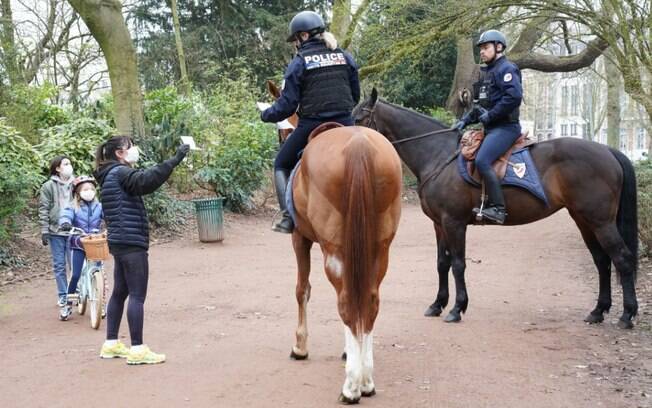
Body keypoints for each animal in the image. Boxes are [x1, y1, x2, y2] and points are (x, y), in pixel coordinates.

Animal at [290, 124, 402, 402]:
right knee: (368, 302)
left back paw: (351, 385)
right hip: (379, 251)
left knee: (346, 302)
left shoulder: (299, 236)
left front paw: (300, 346)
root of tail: (358, 145)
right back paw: (366, 380)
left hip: (334, 250)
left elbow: (302, 290)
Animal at [354, 31, 640, 332]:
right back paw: (598, 311)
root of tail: (608, 150)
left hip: (600, 221)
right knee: (602, 260)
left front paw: (457, 308)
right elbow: (442, 263)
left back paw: (626, 314)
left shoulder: (454, 222)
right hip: (584, 219)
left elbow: (458, 264)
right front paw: (437, 304)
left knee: (621, 258)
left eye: (360, 117)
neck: (438, 154)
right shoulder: (438, 223)